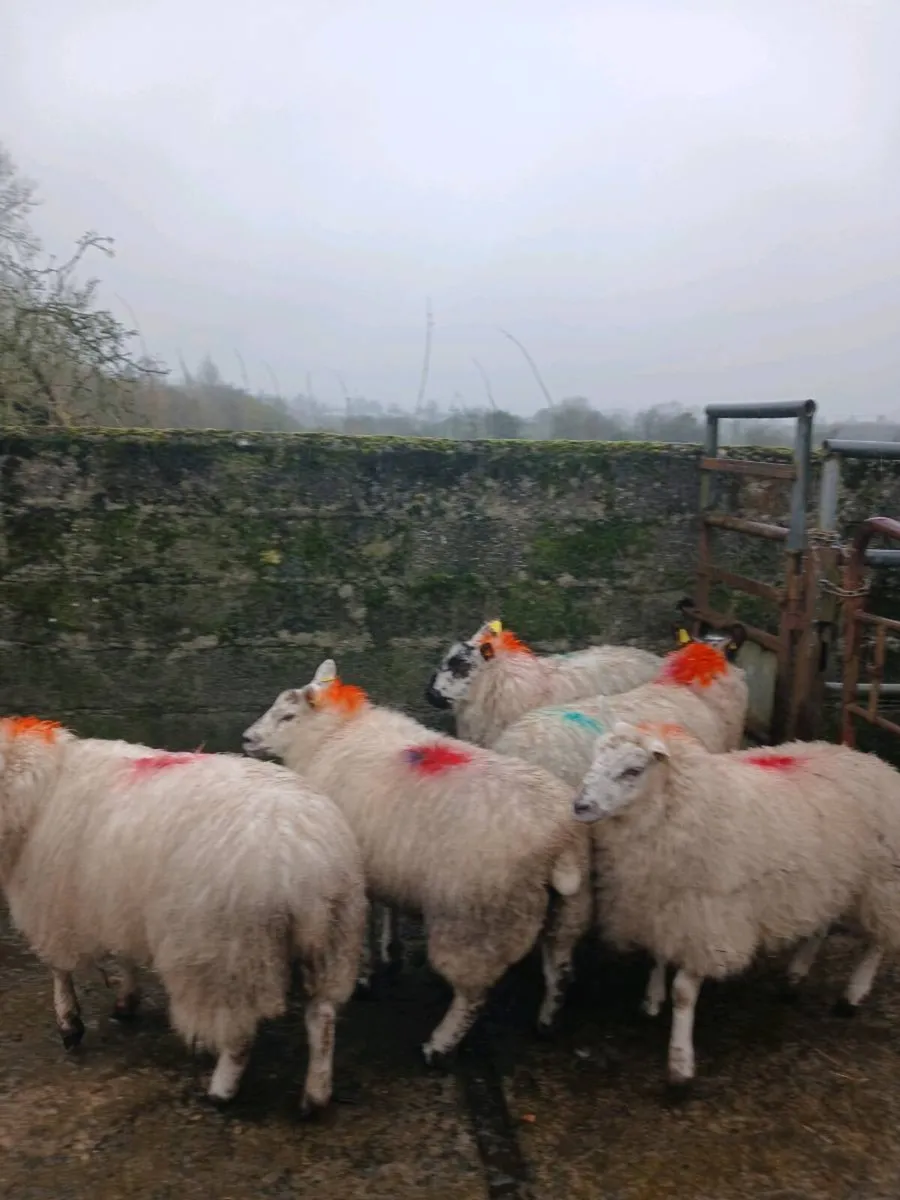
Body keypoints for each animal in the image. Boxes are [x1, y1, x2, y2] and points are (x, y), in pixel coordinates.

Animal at [0, 716, 366, 1113]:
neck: (43, 785)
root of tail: (306, 854)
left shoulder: (51, 907)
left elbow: (59, 970)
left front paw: (70, 1024)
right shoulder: (121, 900)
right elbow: (125, 957)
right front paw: (126, 1002)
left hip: (229, 950)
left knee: (239, 1034)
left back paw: (221, 1091)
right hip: (331, 941)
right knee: (322, 1017)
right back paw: (316, 1095)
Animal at [243, 659, 593, 1065]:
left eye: (287, 715)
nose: (246, 739)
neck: (332, 734)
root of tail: (560, 839)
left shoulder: (355, 865)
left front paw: (367, 974)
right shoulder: (383, 858)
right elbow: (387, 907)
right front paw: (390, 951)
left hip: (479, 919)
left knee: (473, 993)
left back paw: (440, 1046)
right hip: (570, 907)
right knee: (559, 966)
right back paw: (547, 1022)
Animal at [572, 720, 900, 1089]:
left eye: (633, 770)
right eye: (596, 758)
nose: (580, 806)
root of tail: (873, 759)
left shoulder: (709, 918)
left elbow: (683, 992)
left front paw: (680, 1064)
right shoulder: (663, 904)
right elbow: (658, 955)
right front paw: (652, 1000)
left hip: (882, 881)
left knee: (877, 941)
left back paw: (852, 995)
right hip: (828, 879)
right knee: (822, 924)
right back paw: (795, 975)